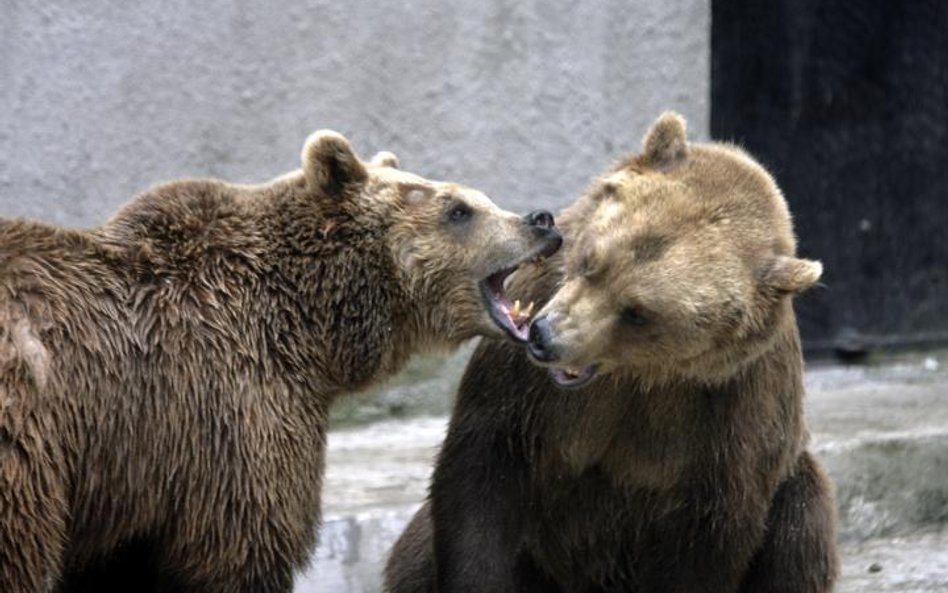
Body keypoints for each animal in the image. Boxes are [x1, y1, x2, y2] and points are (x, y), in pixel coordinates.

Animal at [0, 131, 564, 592]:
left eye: (477, 199)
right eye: (459, 208)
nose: (541, 220)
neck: (308, 323)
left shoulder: (132, 473)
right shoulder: (231, 410)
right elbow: (243, 547)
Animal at [384, 112, 836, 592]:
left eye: (638, 312)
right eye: (591, 260)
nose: (545, 335)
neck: (639, 377)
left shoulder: (729, 408)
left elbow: (709, 532)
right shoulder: (526, 385)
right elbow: (483, 474)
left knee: (803, 521)